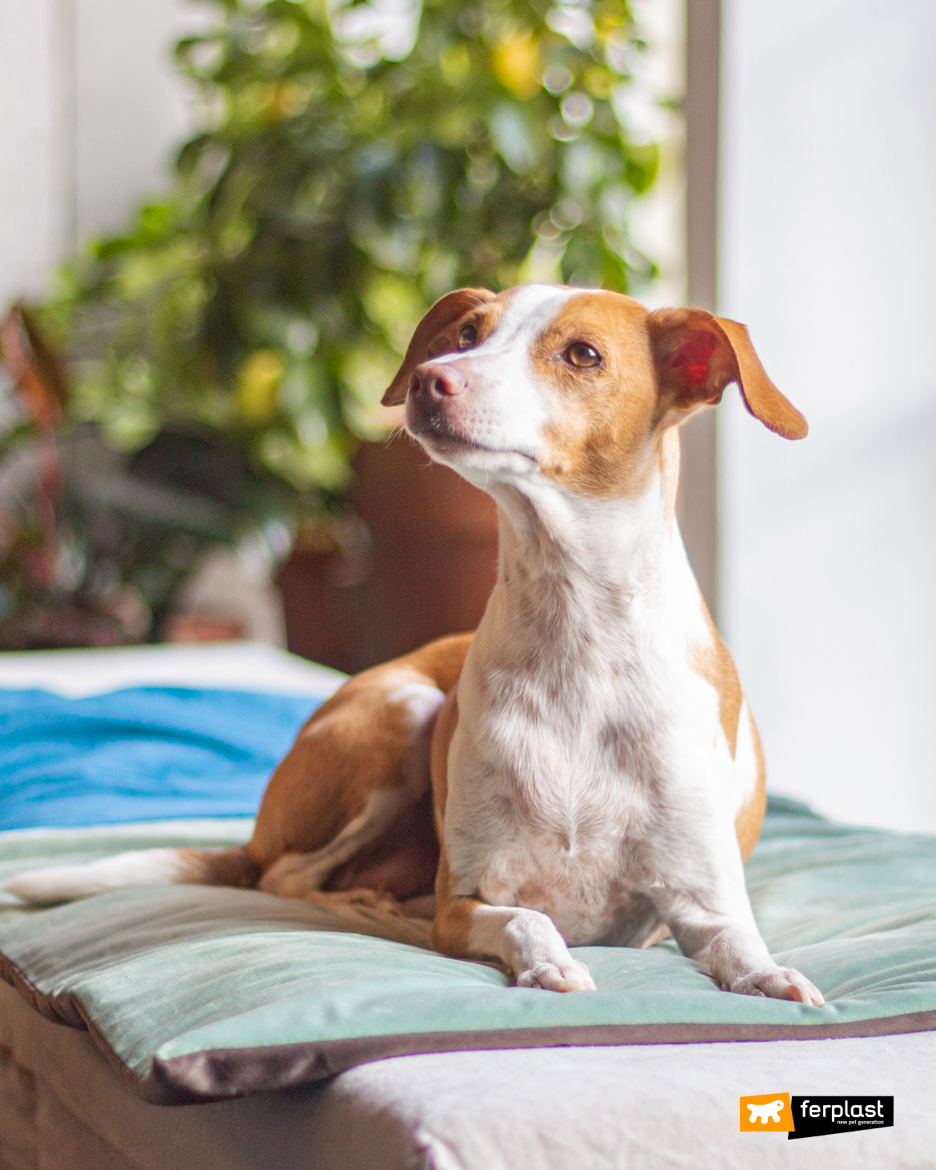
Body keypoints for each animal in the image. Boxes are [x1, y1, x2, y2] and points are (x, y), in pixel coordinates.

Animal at [5, 285, 828, 1006]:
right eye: (467, 333)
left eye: (583, 354)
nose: (433, 380)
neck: (578, 634)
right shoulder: (465, 900)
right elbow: (529, 920)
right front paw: (549, 964)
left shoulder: (700, 903)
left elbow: (738, 944)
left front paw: (770, 978)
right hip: (403, 714)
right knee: (288, 878)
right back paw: (371, 906)